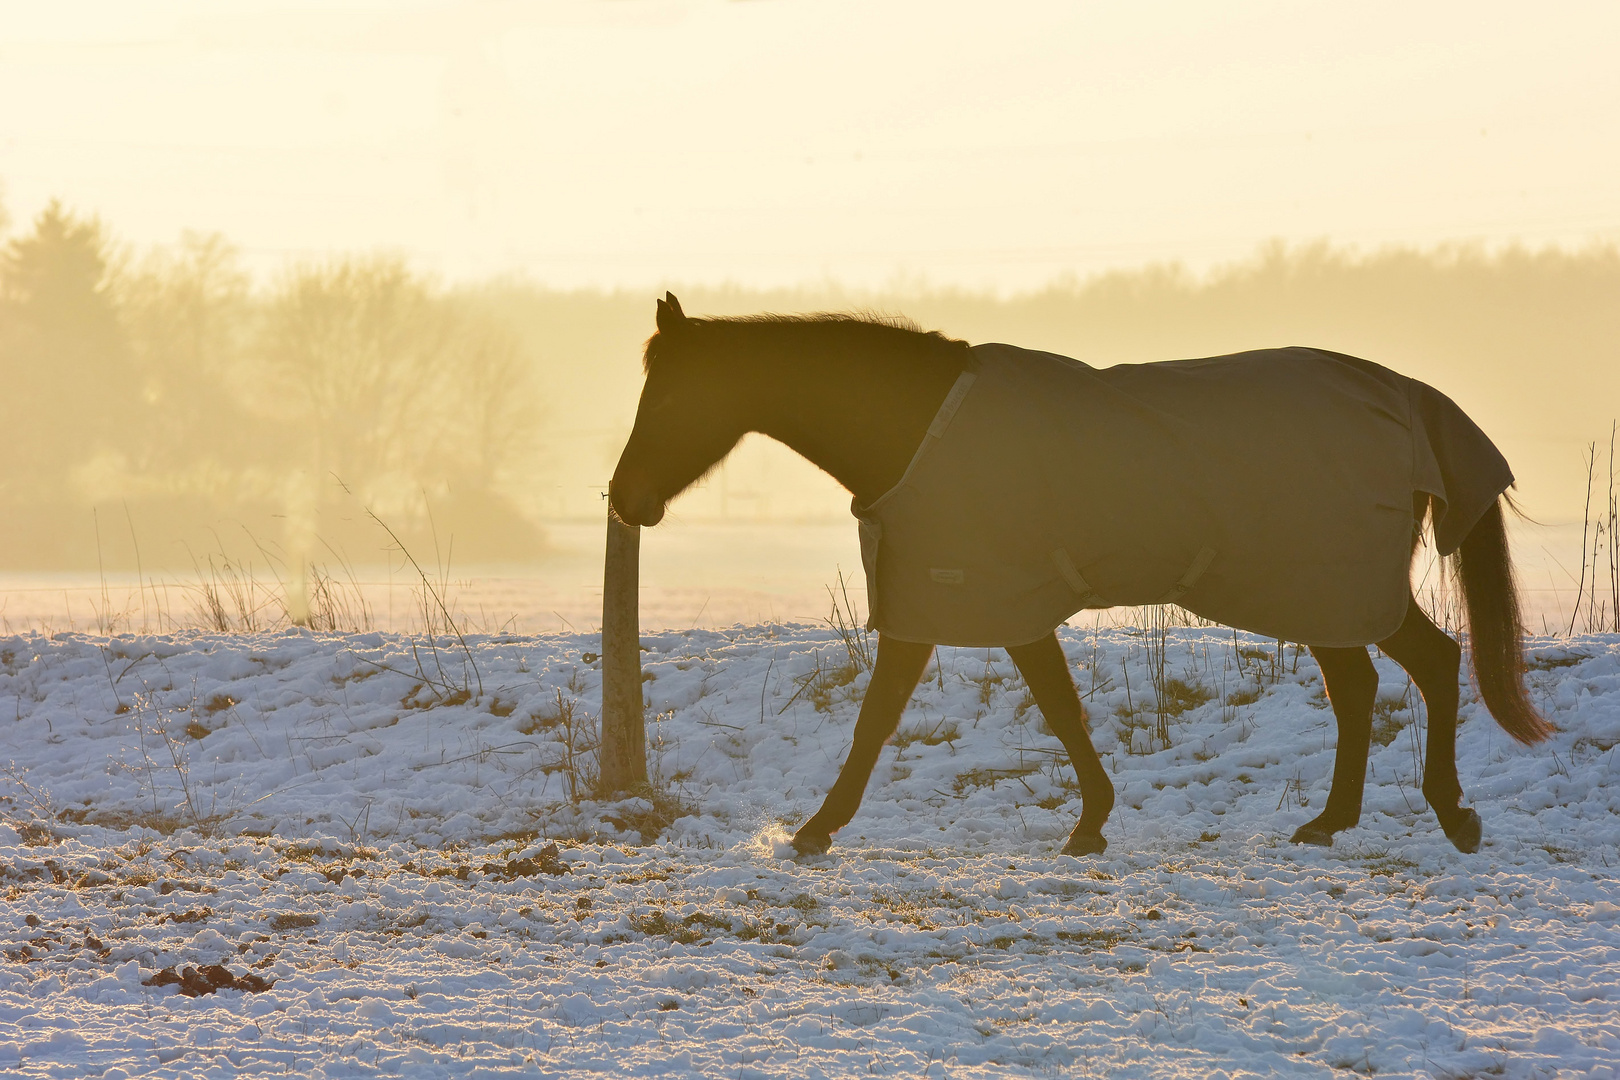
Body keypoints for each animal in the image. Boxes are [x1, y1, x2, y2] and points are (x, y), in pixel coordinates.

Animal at [609, 291, 1555, 854]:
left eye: (671, 394)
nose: (625, 500)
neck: (917, 428)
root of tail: (1406, 397)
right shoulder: (1007, 603)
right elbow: (1058, 708)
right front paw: (1093, 821)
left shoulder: (959, 597)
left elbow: (880, 720)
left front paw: (814, 830)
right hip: (1320, 595)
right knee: (1365, 686)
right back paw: (1332, 822)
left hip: (1331, 588)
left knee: (1428, 665)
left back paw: (1450, 814)